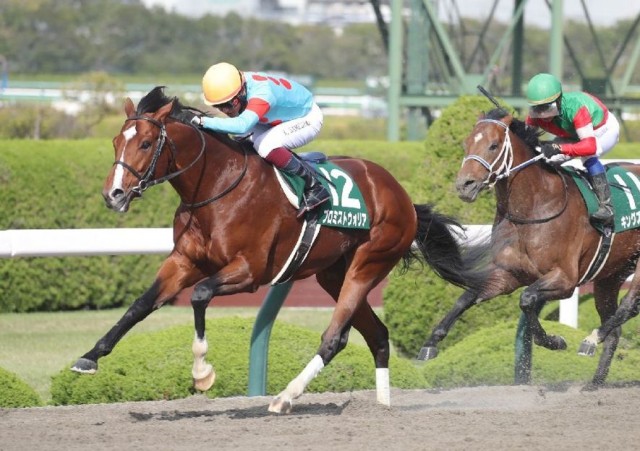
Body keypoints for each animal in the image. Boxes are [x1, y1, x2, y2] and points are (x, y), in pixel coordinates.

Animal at [71, 87, 484, 414]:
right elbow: (141, 305)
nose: (113, 195)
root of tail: (402, 195)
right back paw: (382, 404)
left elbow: (201, 295)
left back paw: (286, 396)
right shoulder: (184, 261)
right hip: (333, 273)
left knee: (334, 337)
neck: (217, 187)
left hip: (368, 263)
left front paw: (202, 372)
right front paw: (88, 358)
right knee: (376, 335)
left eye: (144, 143)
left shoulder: (250, 271)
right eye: (115, 142)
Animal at [418, 107, 640, 386]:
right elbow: (466, 297)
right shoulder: (508, 274)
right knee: (616, 325)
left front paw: (554, 340)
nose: (464, 185)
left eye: (493, 145)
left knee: (629, 305)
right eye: (465, 143)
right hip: (610, 275)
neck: (534, 208)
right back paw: (594, 383)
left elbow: (527, 299)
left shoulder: (566, 279)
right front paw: (430, 343)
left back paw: (591, 339)